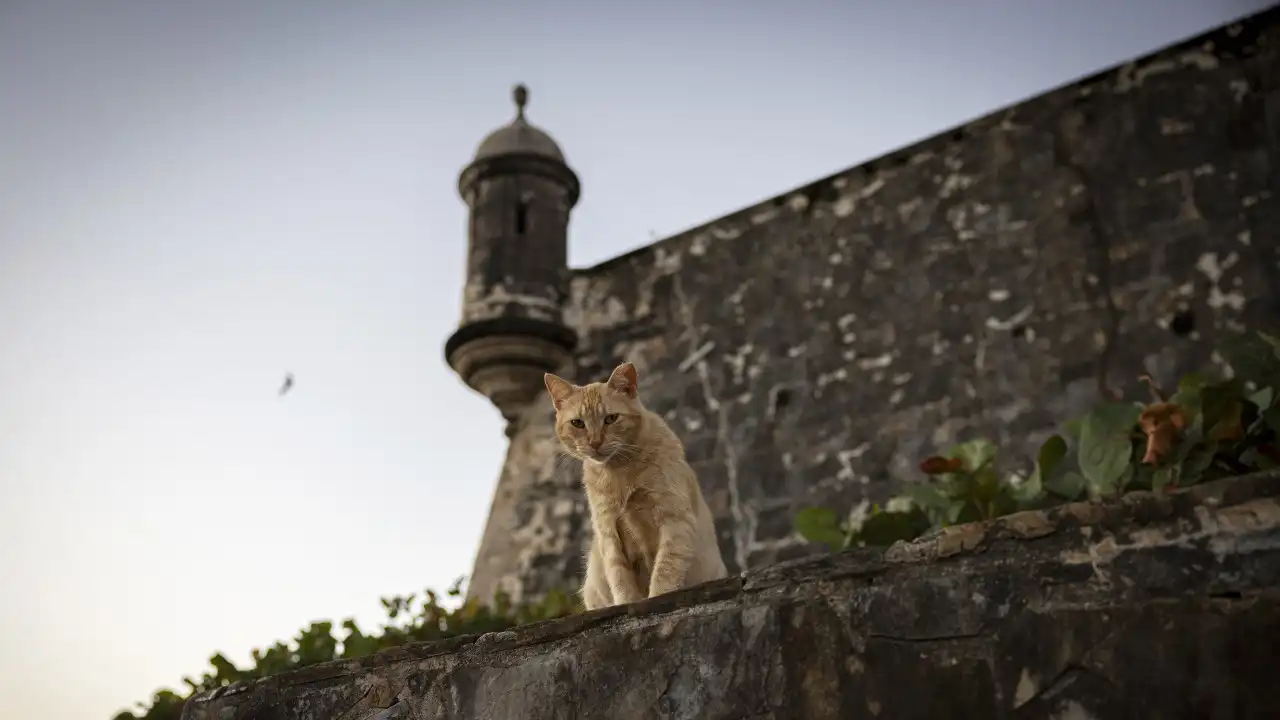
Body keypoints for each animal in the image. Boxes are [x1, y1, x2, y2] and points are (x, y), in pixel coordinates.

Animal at [542, 358, 732, 604]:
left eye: (611, 419)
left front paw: (658, 595)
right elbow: (621, 580)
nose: (595, 442)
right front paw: (627, 601)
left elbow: (664, 571)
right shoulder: (609, 533)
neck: (620, 470)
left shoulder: (675, 521)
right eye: (578, 423)